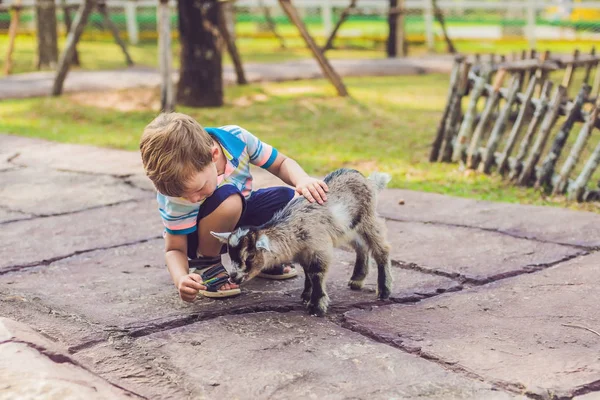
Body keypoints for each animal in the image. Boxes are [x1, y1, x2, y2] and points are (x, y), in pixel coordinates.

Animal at [211, 168, 394, 316]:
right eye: (231, 254)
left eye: (250, 256)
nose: (233, 277)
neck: (293, 233)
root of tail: (367, 179)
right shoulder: (304, 254)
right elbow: (307, 273)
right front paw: (306, 296)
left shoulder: (319, 249)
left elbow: (316, 274)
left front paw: (316, 306)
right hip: (349, 228)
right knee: (361, 246)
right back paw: (357, 279)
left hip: (368, 218)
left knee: (382, 249)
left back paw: (384, 290)